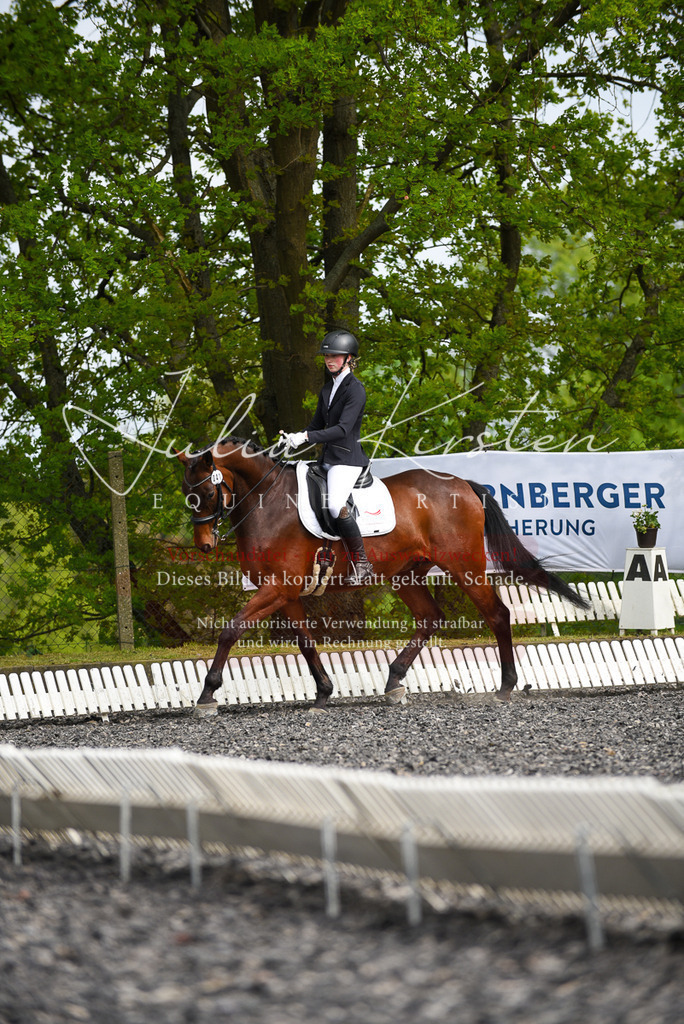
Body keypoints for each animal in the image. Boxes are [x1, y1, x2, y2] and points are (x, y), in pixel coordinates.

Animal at [178, 437, 588, 711]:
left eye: (207, 493)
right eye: (187, 494)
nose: (205, 546)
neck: (270, 503)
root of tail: (463, 484)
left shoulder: (278, 588)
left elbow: (230, 630)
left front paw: (207, 694)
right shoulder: (285, 592)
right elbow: (306, 642)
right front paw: (323, 692)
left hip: (464, 566)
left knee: (497, 614)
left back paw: (504, 686)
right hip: (406, 574)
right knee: (430, 617)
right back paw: (394, 681)